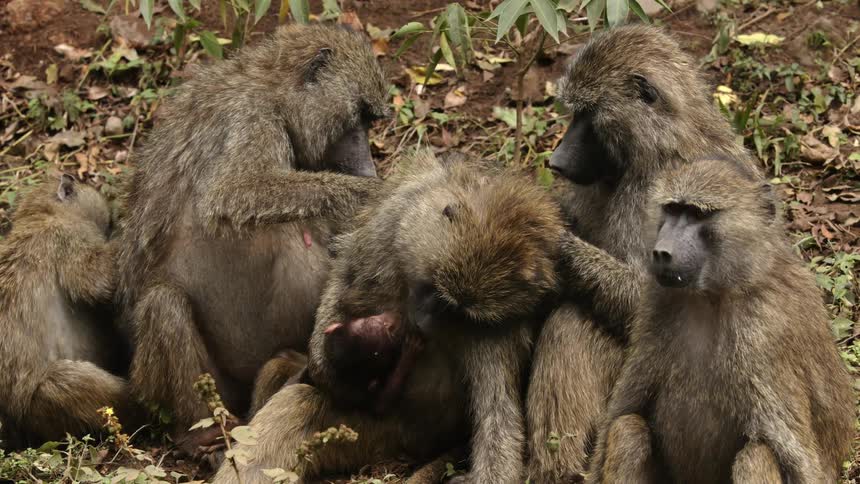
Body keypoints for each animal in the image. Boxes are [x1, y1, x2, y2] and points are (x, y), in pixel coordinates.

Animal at [0, 175, 139, 446]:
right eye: (108, 223)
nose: (110, 227)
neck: (41, 215)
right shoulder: (68, 239)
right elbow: (99, 280)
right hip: (39, 403)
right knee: (64, 379)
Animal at [116, 23, 390, 445]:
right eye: (359, 116)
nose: (368, 167)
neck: (270, 89)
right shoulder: (249, 117)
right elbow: (233, 192)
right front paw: (373, 192)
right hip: (176, 383)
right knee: (164, 303)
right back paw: (204, 434)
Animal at [210, 149, 565, 484]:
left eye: (459, 312)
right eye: (438, 292)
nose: (423, 323)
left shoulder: (501, 324)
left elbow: (498, 416)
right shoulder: (392, 221)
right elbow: (346, 271)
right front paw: (325, 363)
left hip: (385, 437)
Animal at [526, 24, 769, 482]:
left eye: (587, 115)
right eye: (573, 114)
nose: (556, 161)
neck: (656, 146)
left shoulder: (650, 194)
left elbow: (648, 301)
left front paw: (553, 240)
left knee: (570, 321)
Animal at [586, 158, 854, 484]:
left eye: (698, 214)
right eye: (672, 209)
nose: (661, 252)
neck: (714, 294)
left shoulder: (761, 334)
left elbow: (797, 460)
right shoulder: (654, 303)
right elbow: (620, 414)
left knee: (756, 455)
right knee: (628, 430)